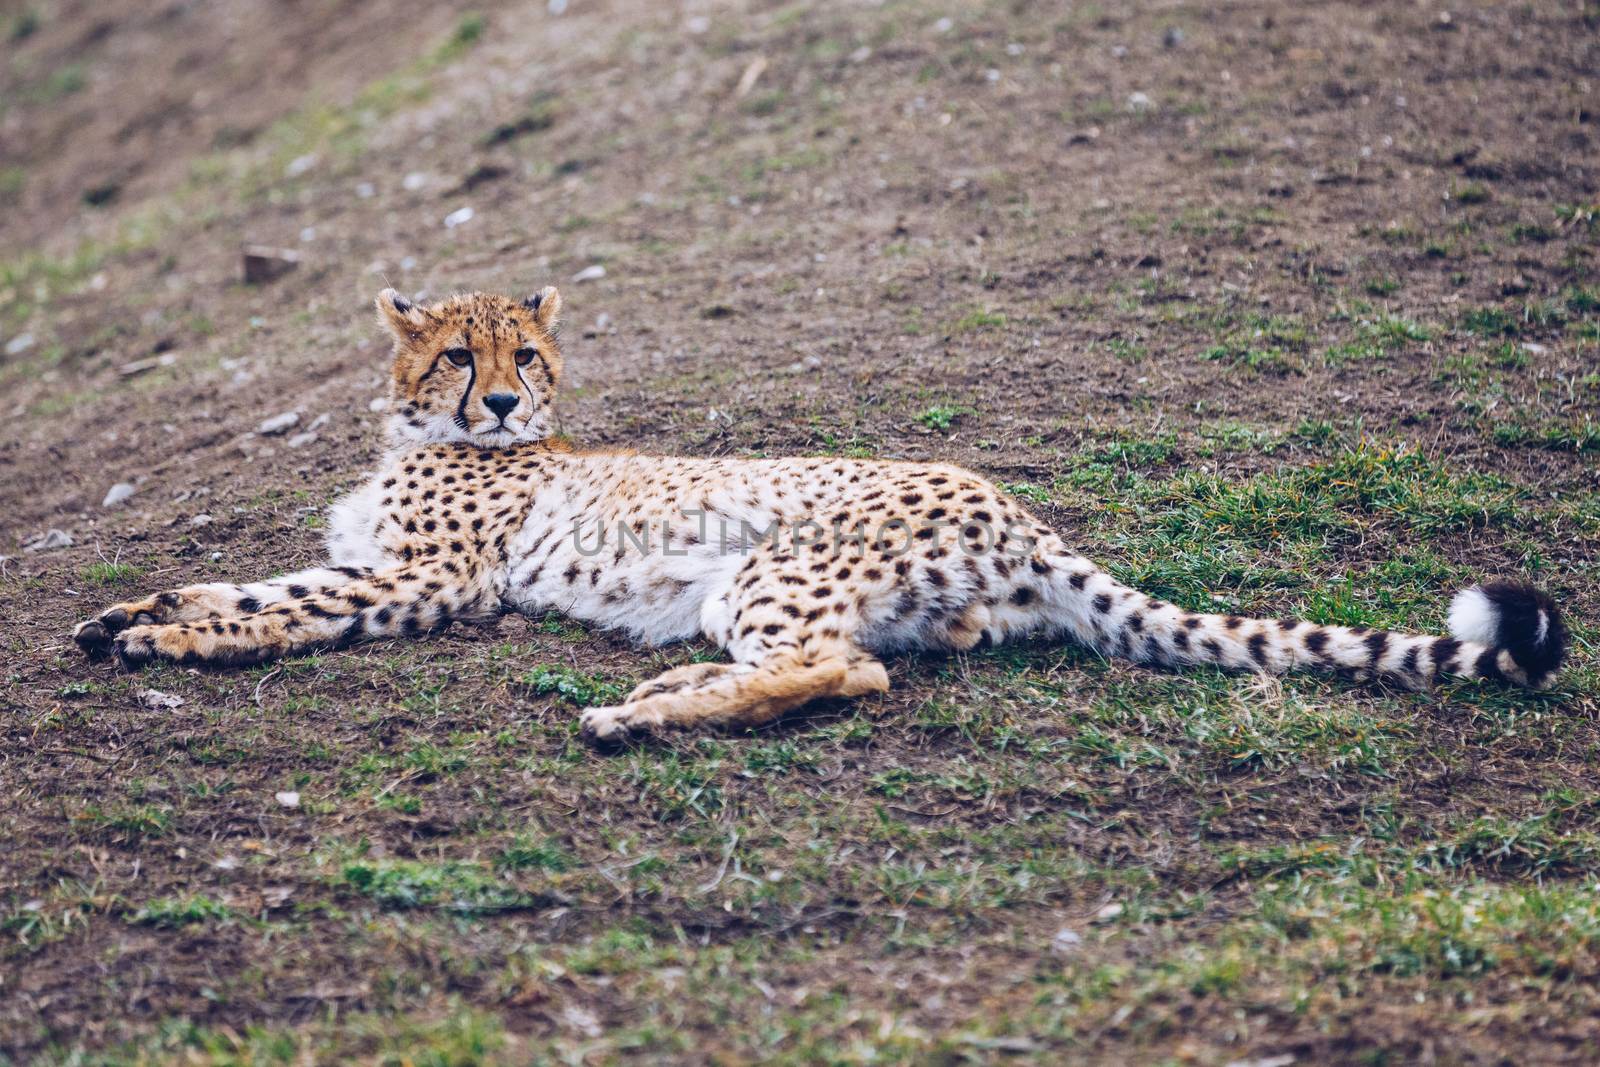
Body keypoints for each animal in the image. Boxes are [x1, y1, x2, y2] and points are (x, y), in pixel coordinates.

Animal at [75, 287, 1561, 748]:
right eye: (456, 355)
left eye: (525, 357)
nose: (497, 403)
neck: (418, 434)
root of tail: (1009, 501)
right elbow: (246, 583)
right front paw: (128, 615)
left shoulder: (425, 582)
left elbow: (278, 609)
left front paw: (168, 637)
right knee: (853, 661)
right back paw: (661, 692)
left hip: (766, 570)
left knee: (837, 668)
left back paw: (632, 716)